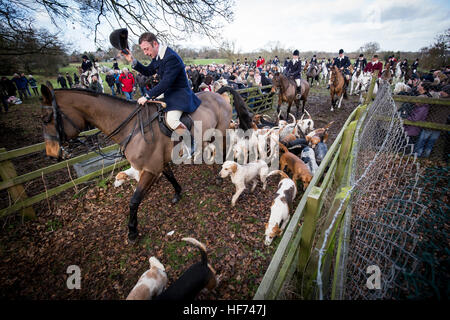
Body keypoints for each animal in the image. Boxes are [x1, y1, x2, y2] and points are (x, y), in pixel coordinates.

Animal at [40, 82, 251, 240]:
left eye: (47, 118)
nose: (51, 155)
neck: (132, 127)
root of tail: (218, 95)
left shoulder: (149, 169)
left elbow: (134, 201)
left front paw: (132, 230)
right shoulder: (158, 163)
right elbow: (170, 176)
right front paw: (178, 193)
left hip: (221, 132)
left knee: (225, 151)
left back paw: (220, 174)